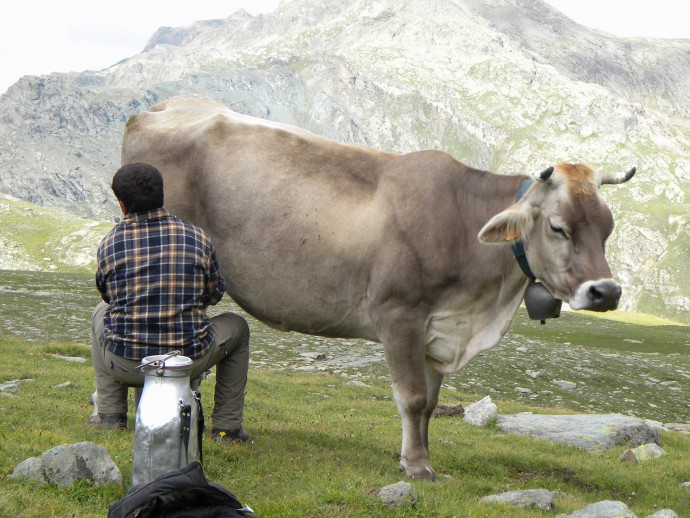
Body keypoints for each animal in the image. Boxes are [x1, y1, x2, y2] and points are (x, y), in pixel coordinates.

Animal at [121, 98, 632, 484]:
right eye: (558, 227)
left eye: (608, 228)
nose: (606, 291)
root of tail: (165, 105)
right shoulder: (399, 314)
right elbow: (411, 398)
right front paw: (418, 469)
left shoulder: (437, 327)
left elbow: (429, 405)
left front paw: (417, 458)